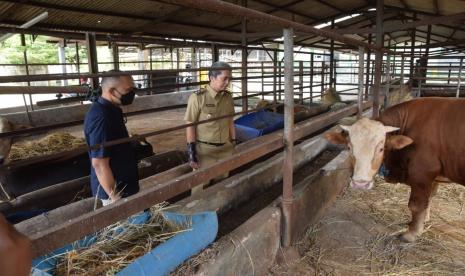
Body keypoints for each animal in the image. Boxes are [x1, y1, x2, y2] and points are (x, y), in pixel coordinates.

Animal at [324, 97, 464, 242]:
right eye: (349, 147)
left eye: (381, 148)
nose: (360, 184)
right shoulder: (433, 177)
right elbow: (429, 197)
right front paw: (424, 219)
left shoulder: (422, 172)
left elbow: (416, 205)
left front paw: (412, 233)